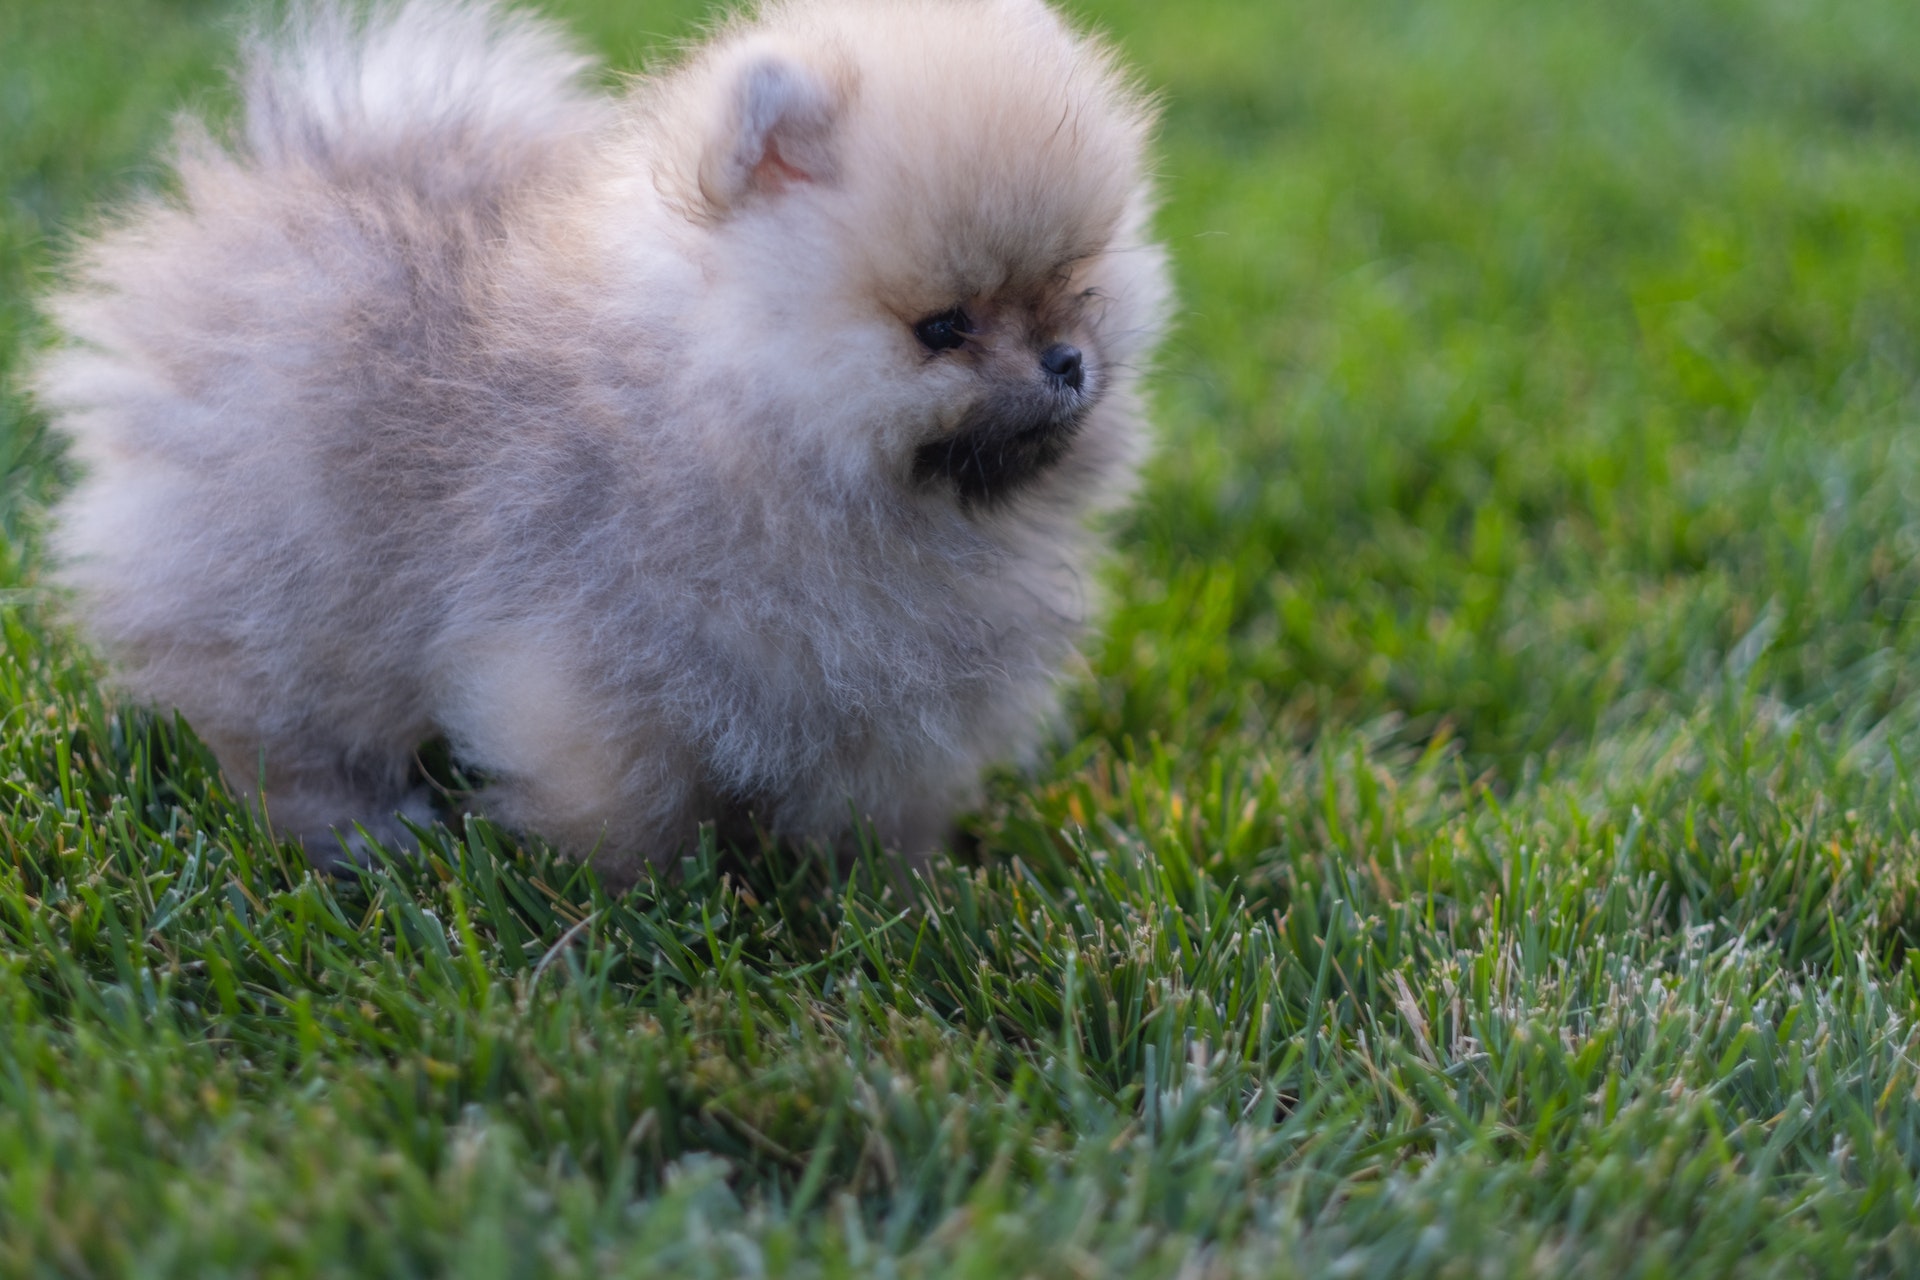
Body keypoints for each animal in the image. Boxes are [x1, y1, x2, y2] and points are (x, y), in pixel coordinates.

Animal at [33, 0, 1167, 882]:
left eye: (1078, 279)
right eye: (943, 327)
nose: (1066, 361)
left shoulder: (887, 708)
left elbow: (875, 812)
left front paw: (898, 890)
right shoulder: (588, 666)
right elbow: (630, 805)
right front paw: (629, 904)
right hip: (278, 581)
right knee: (272, 724)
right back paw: (360, 830)